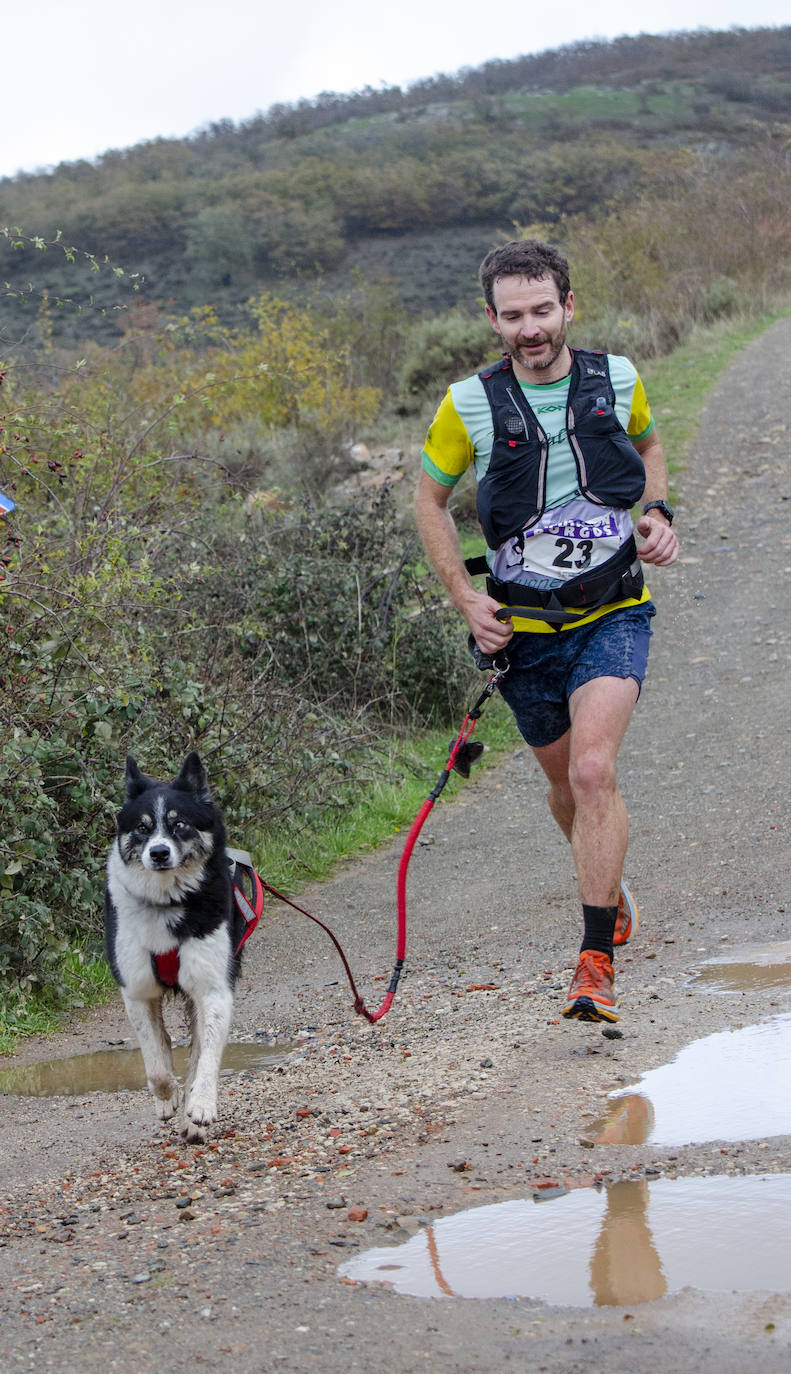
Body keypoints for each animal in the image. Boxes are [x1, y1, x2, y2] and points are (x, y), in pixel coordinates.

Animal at [105, 752, 247, 1137]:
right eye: (142, 828)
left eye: (179, 824)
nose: (158, 852)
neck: (167, 902)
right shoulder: (137, 991)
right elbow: (156, 1065)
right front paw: (166, 1097)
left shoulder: (214, 989)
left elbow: (205, 1059)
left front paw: (200, 1106)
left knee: (197, 1054)